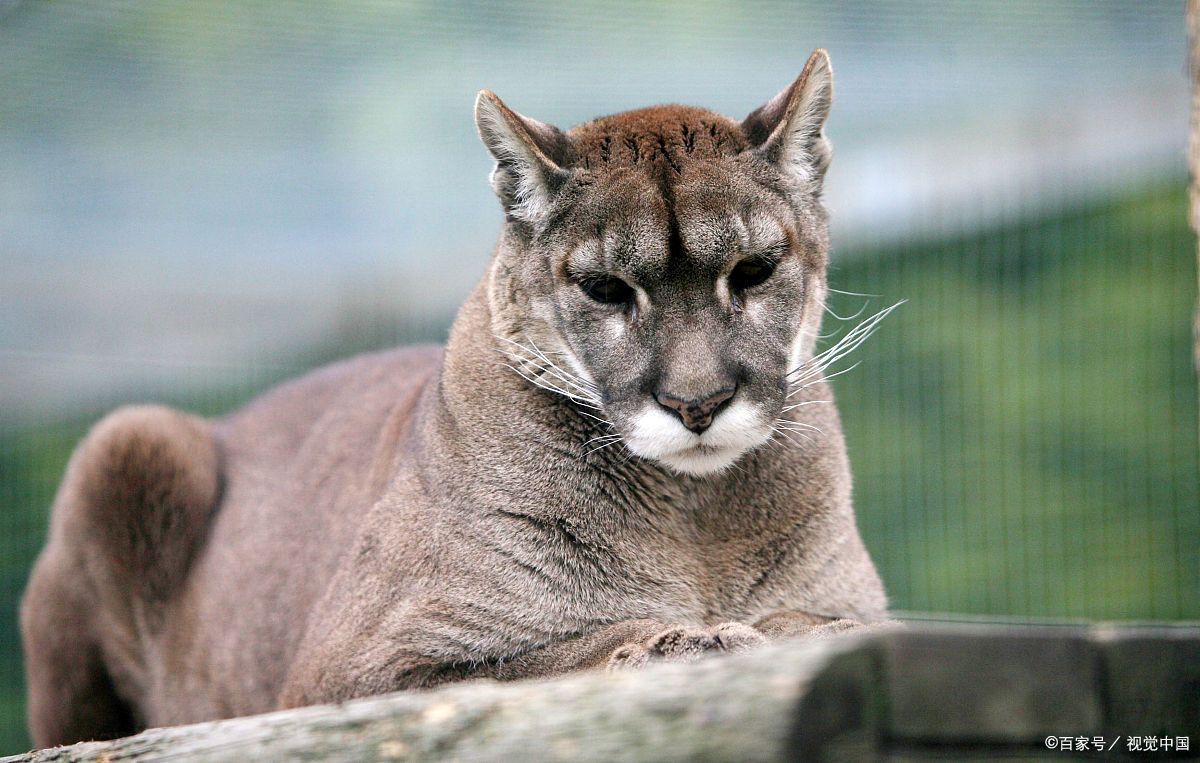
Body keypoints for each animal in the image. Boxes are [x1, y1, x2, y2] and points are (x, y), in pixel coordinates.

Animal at [21, 50, 892, 748]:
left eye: (753, 270)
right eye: (607, 288)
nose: (698, 401)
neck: (696, 518)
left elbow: (837, 618)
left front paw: (779, 627)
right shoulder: (348, 673)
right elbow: (543, 658)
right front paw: (702, 639)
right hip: (127, 437)